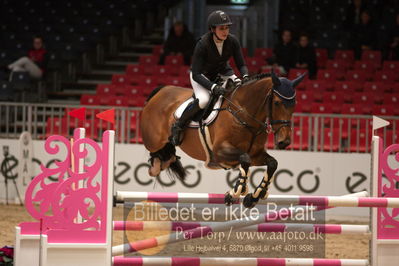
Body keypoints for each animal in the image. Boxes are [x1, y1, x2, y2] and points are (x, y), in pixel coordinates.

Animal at [141, 71, 306, 209]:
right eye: (277, 103)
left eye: (294, 104)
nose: (285, 141)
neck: (245, 114)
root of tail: (162, 90)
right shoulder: (219, 152)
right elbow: (244, 159)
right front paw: (235, 192)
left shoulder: (256, 155)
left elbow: (272, 163)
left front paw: (253, 197)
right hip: (154, 140)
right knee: (155, 156)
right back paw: (159, 161)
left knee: (166, 156)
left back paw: (167, 160)